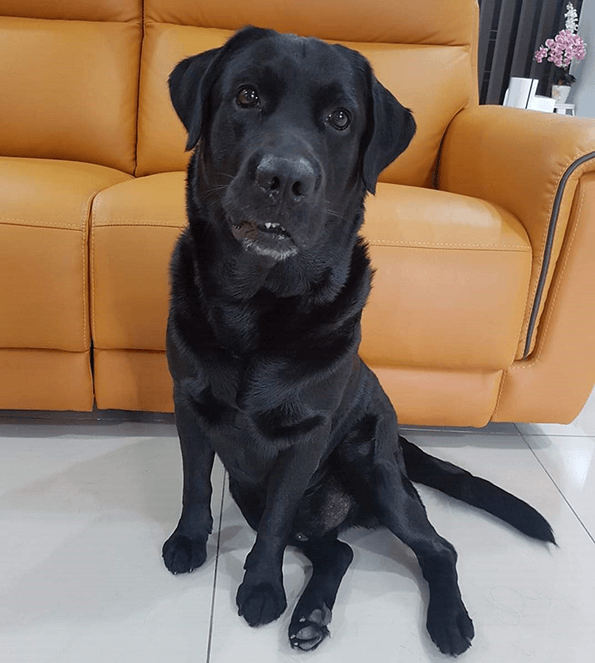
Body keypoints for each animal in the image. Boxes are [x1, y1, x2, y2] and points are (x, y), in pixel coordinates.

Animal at [162, 27, 556, 660]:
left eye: (341, 118)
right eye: (246, 96)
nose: (284, 178)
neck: (259, 306)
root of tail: (401, 444)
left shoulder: (304, 439)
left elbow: (273, 528)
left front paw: (261, 589)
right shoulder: (189, 404)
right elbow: (195, 483)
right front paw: (190, 542)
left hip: (374, 472)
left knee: (438, 548)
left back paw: (448, 620)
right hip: (253, 489)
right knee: (339, 550)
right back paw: (311, 614)